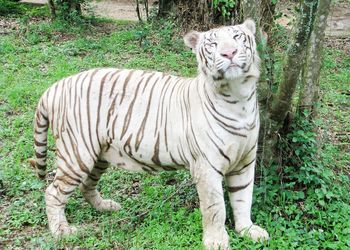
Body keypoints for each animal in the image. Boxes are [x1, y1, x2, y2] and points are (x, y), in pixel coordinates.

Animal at [30, 19, 270, 248]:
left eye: (237, 37)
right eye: (212, 44)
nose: (229, 53)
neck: (239, 98)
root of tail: (54, 87)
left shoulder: (245, 162)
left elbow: (243, 198)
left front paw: (247, 230)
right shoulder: (207, 167)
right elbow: (215, 208)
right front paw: (216, 241)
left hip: (99, 154)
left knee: (86, 185)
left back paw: (106, 207)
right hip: (78, 153)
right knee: (53, 192)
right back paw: (62, 231)